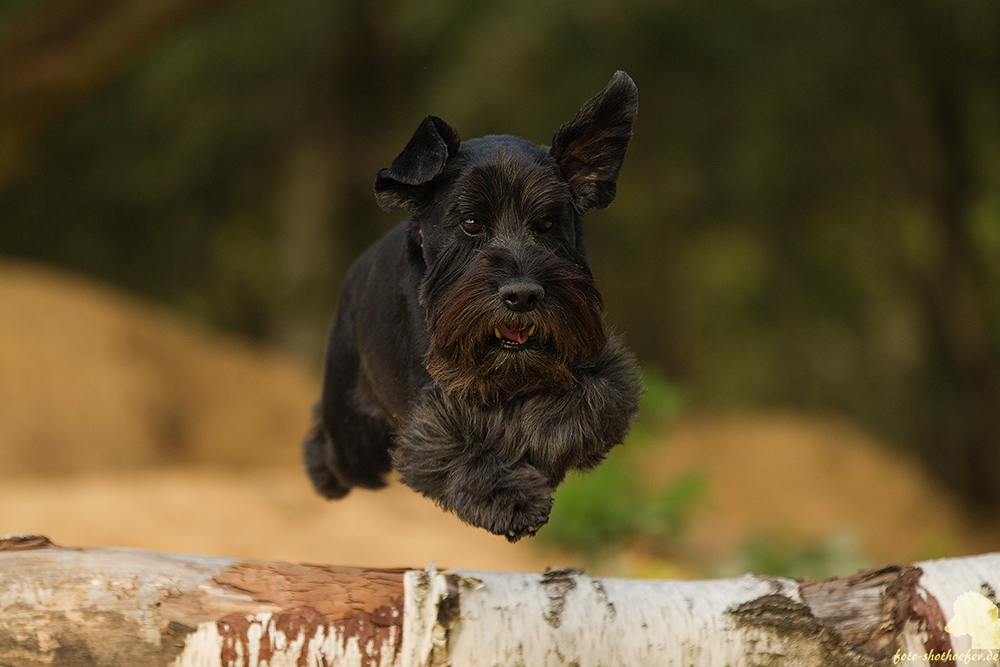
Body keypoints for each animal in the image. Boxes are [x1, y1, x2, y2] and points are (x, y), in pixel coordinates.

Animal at [304, 72, 644, 544]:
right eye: (469, 222)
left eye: (547, 222)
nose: (522, 294)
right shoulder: (433, 413)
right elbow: (462, 449)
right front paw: (512, 500)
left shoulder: (600, 371)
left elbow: (580, 406)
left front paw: (539, 446)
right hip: (352, 433)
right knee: (330, 444)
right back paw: (321, 471)